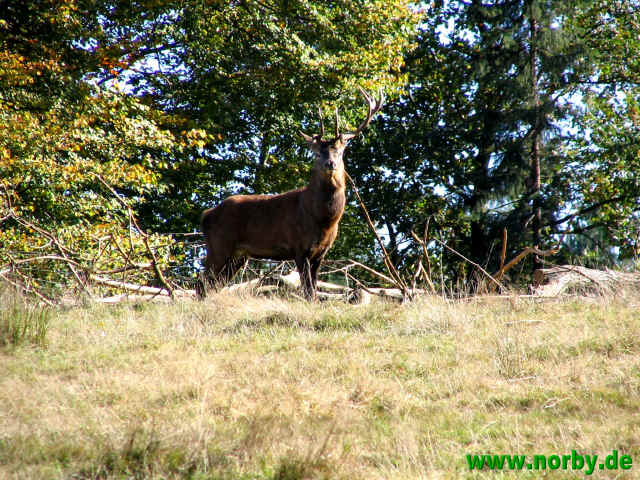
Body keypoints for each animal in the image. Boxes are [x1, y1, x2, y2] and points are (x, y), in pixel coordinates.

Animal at [199, 87, 384, 300]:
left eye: (339, 152)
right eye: (317, 153)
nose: (330, 163)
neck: (323, 219)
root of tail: (206, 215)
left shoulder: (321, 253)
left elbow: (313, 289)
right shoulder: (299, 247)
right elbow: (307, 291)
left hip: (238, 255)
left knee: (214, 284)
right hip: (219, 244)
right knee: (202, 283)